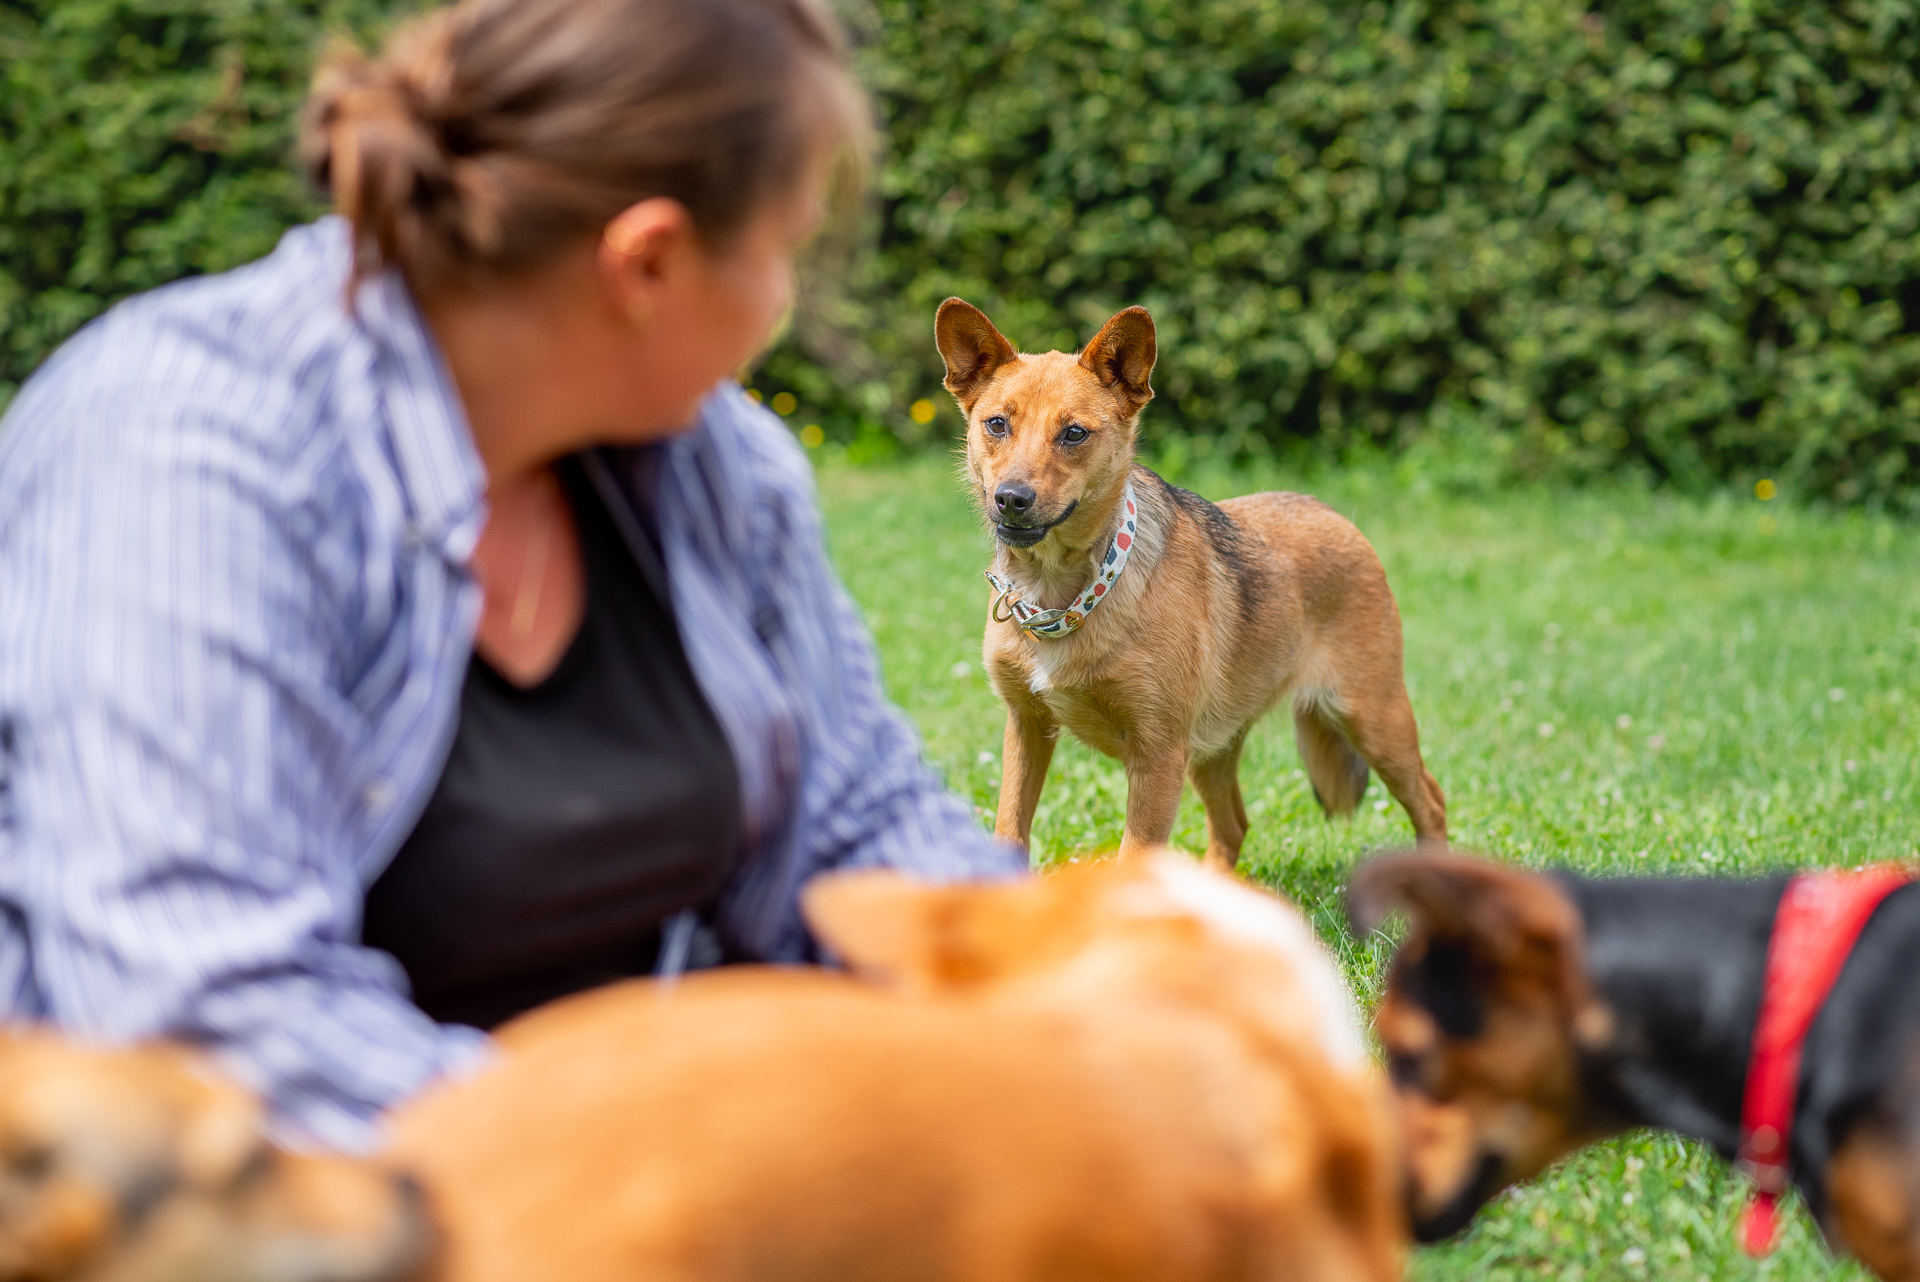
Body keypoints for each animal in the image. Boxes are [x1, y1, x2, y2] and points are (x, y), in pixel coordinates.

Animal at [936, 295, 1443, 867]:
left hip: (1373, 720)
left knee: (1431, 802)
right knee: (1233, 825)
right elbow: (1009, 834)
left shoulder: (1157, 758)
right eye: (997, 424)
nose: (1011, 499)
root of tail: (1333, 513)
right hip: (1213, 748)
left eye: (1074, 433)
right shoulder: (1027, 728)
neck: (1068, 597)